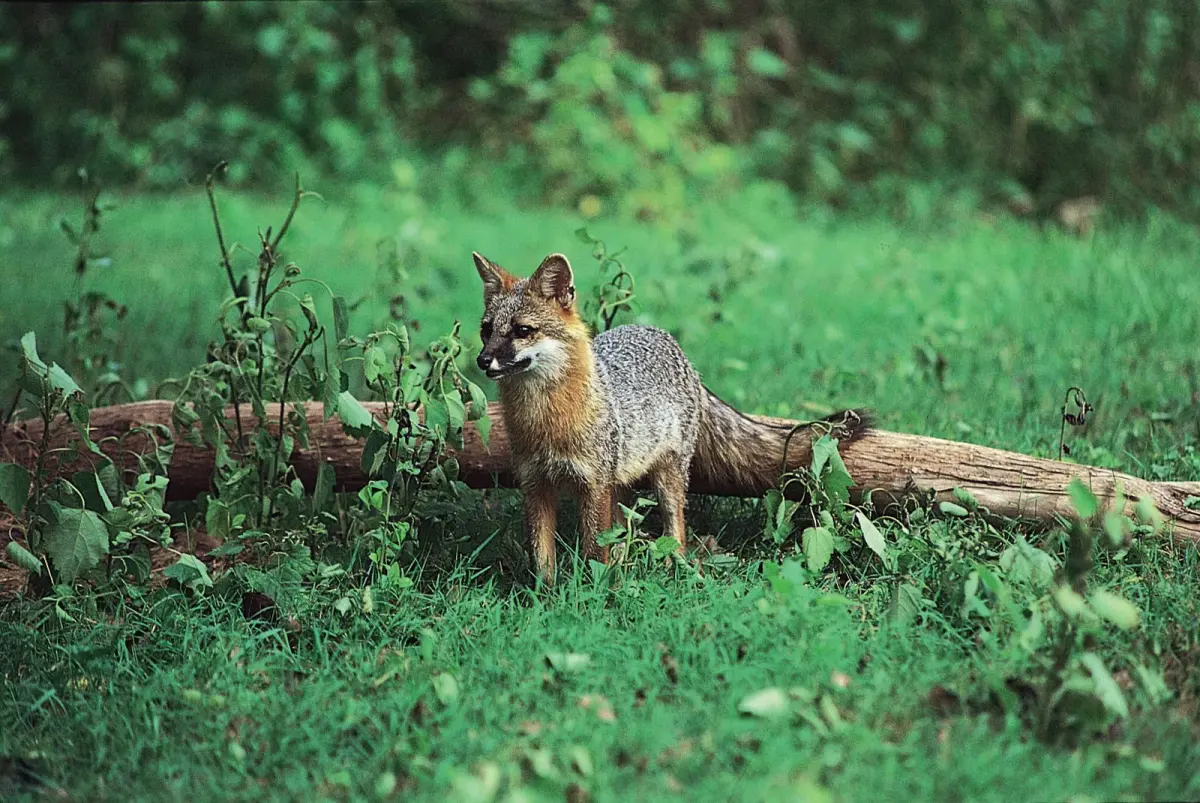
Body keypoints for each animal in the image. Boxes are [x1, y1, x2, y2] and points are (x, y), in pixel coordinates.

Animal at [472, 251, 870, 583]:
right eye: (486, 330)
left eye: (522, 331)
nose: (482, 360)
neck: (544, 421)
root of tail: (664, 336)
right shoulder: (536, 485)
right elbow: (543, 559)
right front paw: (545, 600)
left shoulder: (593, 485)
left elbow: (595, 552)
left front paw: (590, 594)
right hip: (622, 484)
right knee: (625, 531)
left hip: (667, 480)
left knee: (674, 530)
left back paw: (671, 567)